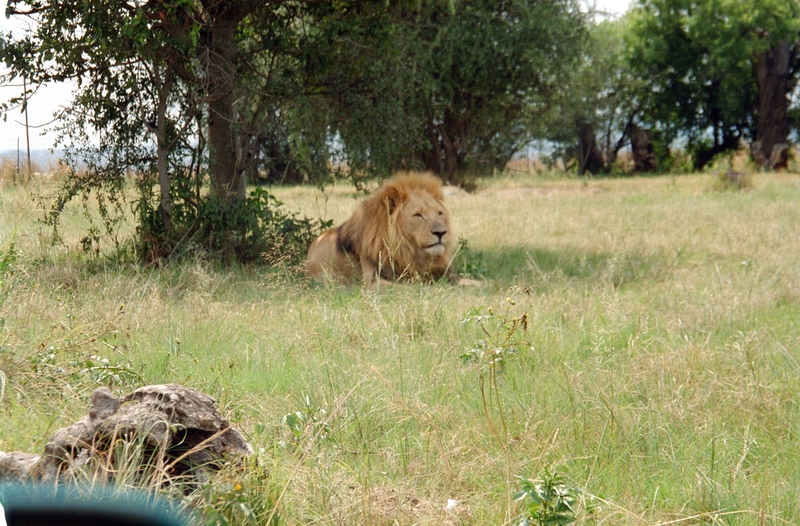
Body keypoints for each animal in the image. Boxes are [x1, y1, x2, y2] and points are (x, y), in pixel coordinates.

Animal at [304, 173, 460, 288]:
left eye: (439, 213)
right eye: (417, 215)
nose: (441, 233)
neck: (410, 252)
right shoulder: (372, 281)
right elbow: (407, 287)